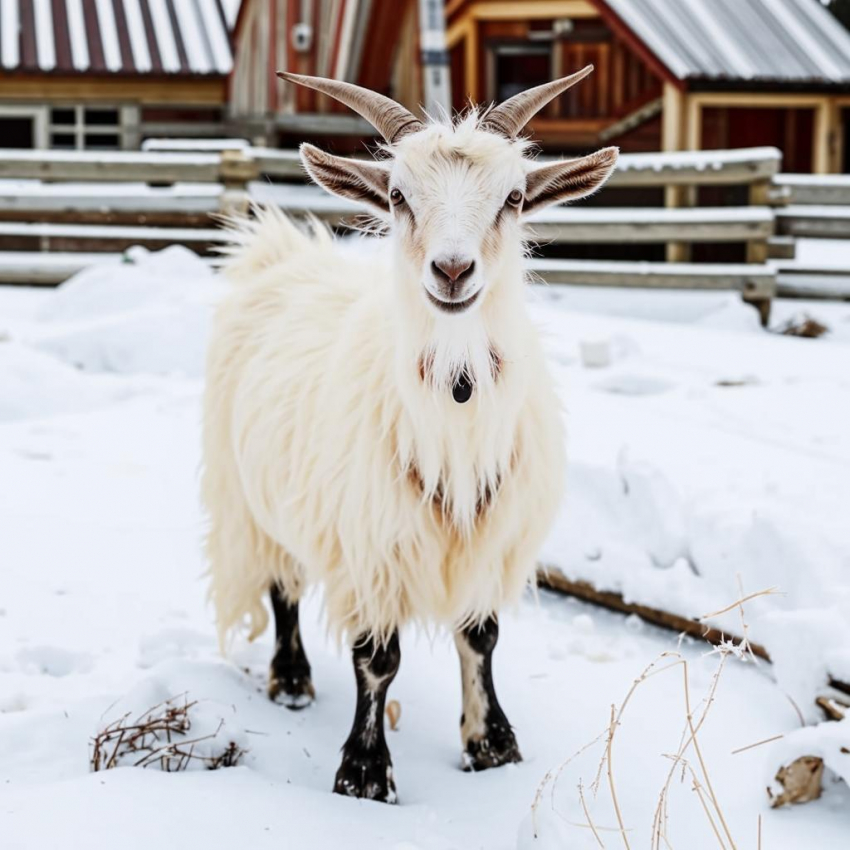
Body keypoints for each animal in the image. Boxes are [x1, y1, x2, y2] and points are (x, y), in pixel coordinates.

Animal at [204, 68, 616, 800]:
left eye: (513, 196)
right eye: (398, 195)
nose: (452, 271)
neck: (453, 400)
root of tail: (280, 251)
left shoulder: (492, 541)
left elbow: (481, 639)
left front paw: (492, 745)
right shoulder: (371, 548)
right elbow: (377, 659)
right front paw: (364, 773)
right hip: (247, 492)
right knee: (282, 586)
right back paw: (291, 679)